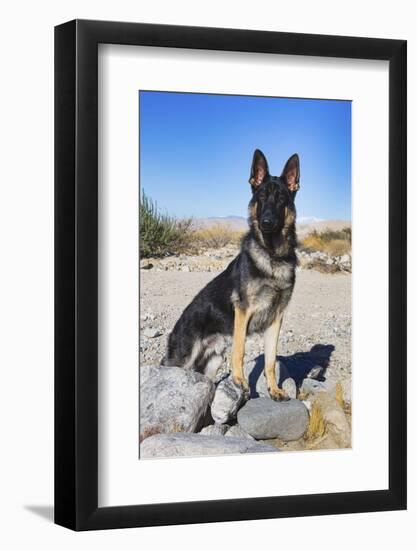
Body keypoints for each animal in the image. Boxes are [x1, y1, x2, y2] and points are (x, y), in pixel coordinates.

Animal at [161, 150, 300, 402]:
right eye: (261, 197)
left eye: (281, 199)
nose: (266, 222)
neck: (272, 255)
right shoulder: (243, 312)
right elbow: (240, 351)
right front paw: (239, 380)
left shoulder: (276, 319)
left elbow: (271, 360)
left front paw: (274, 389)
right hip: (183, 359)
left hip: (212, 362)